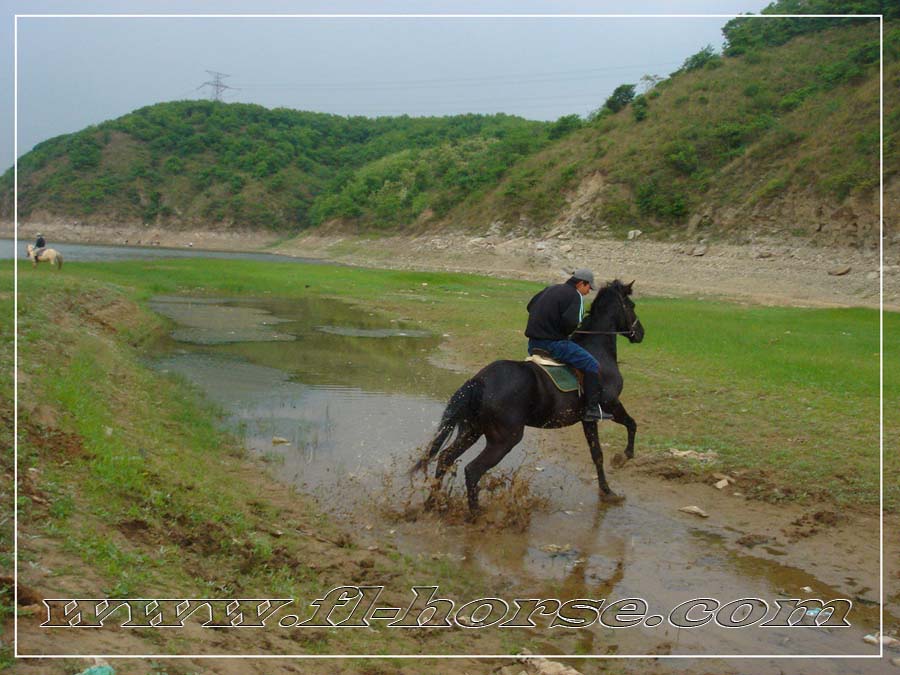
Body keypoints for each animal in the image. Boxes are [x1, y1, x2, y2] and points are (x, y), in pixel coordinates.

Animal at [412, 278, 644, 512]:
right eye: (632, 306)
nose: (641, 334)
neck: (598, 350)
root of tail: (480, 381)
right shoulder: (610, 405)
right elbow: (631, 425)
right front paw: (623, 458)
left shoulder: (587, 420)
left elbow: (597, 454)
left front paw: (607, 489)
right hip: (504, 439)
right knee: (472, 470)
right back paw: (475, 513)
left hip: (471, 430)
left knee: (445, 458)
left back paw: (433, 502)